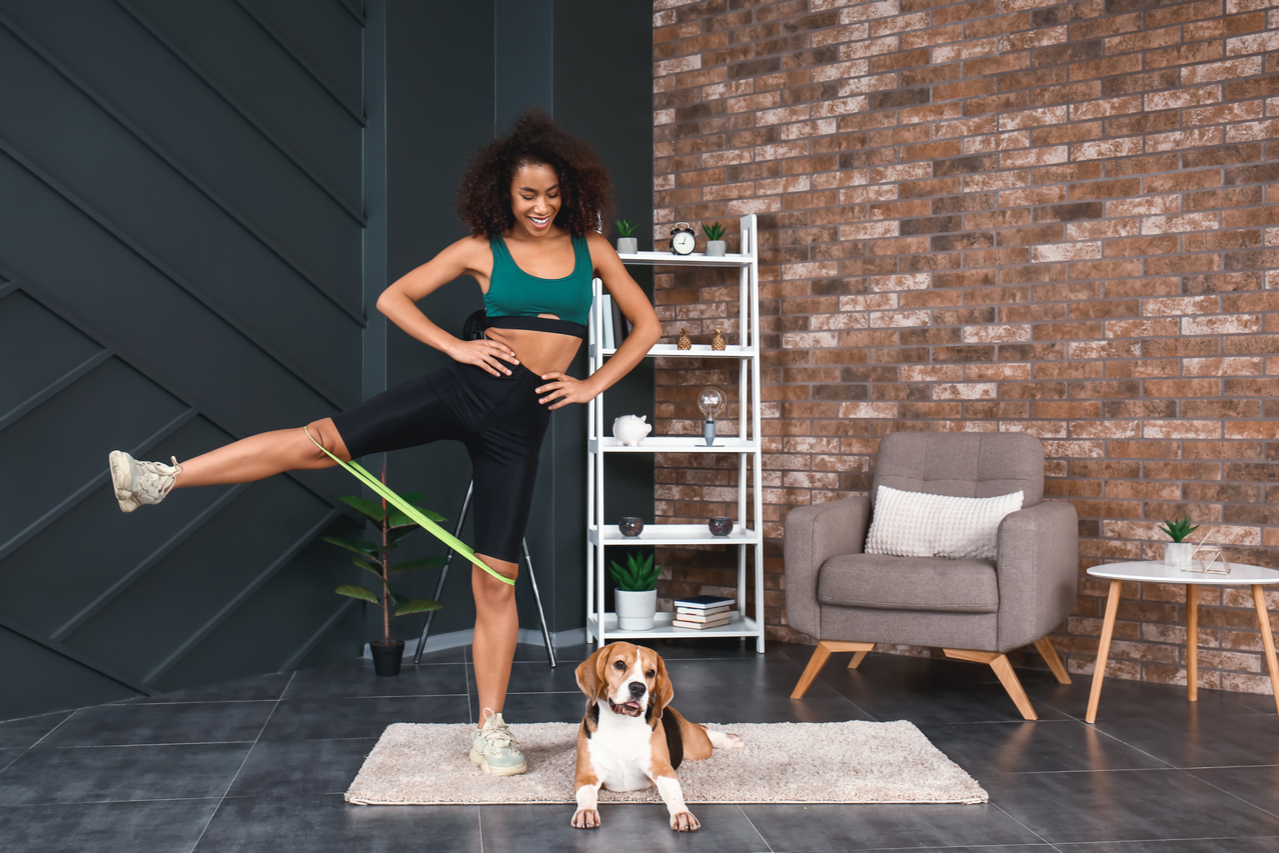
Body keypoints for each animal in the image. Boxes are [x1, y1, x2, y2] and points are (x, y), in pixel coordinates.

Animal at [570, 640, 742, 824]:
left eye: (651, 673)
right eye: (620, 664)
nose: (638, 688)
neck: (621, 724)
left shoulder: (662, 769)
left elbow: (673, 794)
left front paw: (682, 814)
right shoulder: (586, 775)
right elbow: (587, 796)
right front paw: (586, 811)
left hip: (698, 749)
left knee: (703, 729)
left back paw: (730, 739)